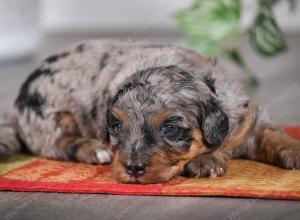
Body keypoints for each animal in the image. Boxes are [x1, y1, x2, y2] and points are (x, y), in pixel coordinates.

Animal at [0, 39, 300, 184]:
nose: (133, 169)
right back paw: (94, 150)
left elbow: (273, 134)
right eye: (116, 126)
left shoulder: (250, 117)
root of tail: (14, 104)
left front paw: (294, 152)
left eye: (169, 128)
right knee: (59, 142)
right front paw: (208, 161)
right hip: (49, 114)